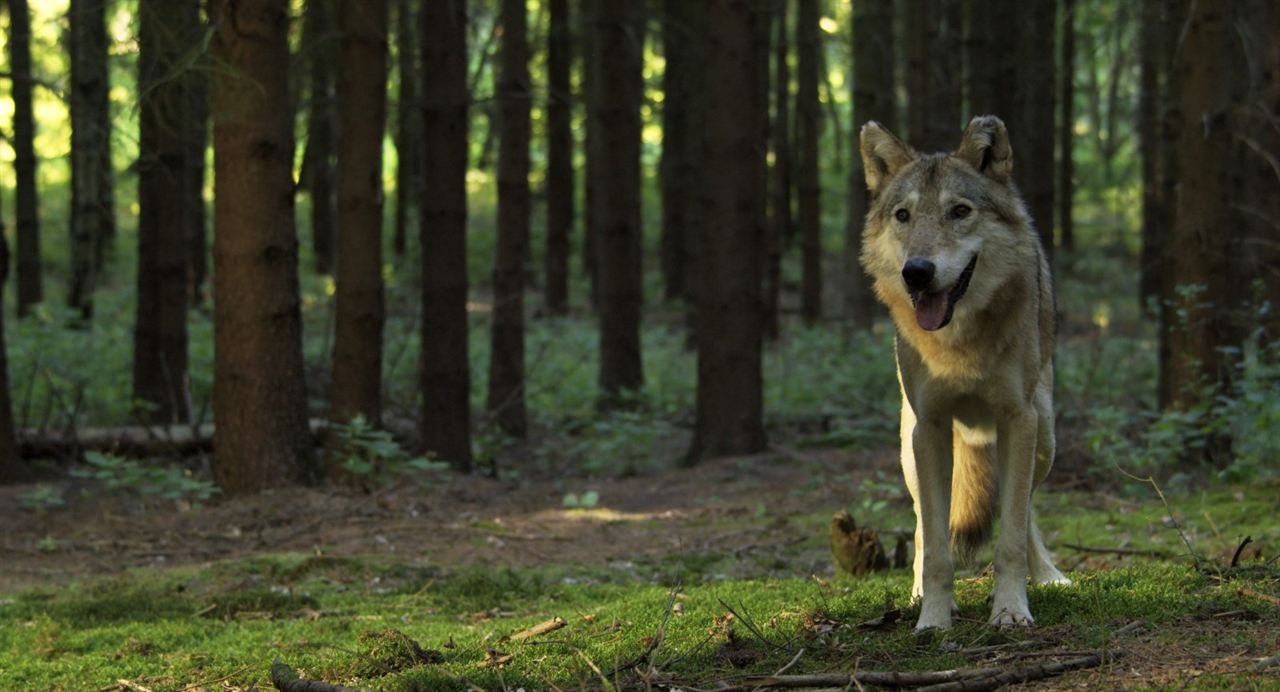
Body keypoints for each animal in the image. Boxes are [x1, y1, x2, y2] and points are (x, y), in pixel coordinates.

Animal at [860, 115, 1070, 629]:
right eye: (903, 215)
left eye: (959, 211)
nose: (917, 271)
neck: (958, 345)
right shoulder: (931, 427)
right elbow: (936, 545)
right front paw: (933, 618)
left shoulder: (1019, 421)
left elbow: (1010, 535)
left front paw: (1010, 611)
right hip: (910, 450)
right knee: (920, 524)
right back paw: (917, 592)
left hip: (1044, 440)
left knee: (1027, 512)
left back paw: (1048, 574)